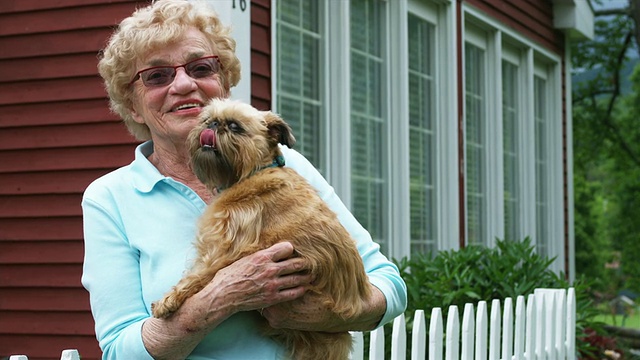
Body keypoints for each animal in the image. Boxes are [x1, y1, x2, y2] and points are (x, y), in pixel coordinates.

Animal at [152, 97, 372, 358]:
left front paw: (168, 300)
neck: (252, 172)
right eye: (207, 120)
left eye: (234, 126)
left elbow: (196, 276)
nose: (214, 125)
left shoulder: (224, 250)